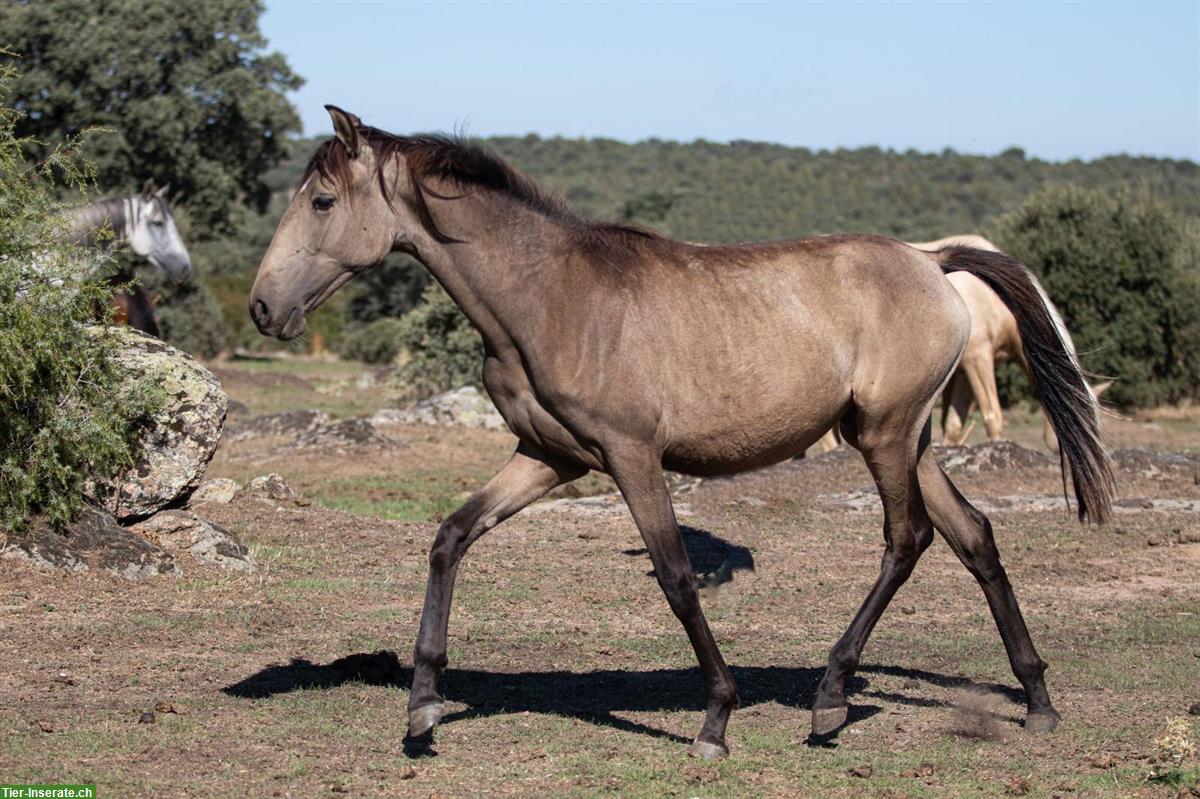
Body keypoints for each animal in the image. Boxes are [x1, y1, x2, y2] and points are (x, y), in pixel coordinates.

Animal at [246, 107, 1113, 758]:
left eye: (321, 202)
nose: (261, 307)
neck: (551, 295)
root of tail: (933, 262)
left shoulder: (633, 457)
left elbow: (675, 576)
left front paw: (717, 720)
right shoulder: (549, 457)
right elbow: (450, 536)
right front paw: (423, 705)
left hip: (886, 437)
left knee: (908, 540)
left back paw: (831, 698)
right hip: (909, 437)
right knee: (975, 536)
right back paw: (1037, 699)